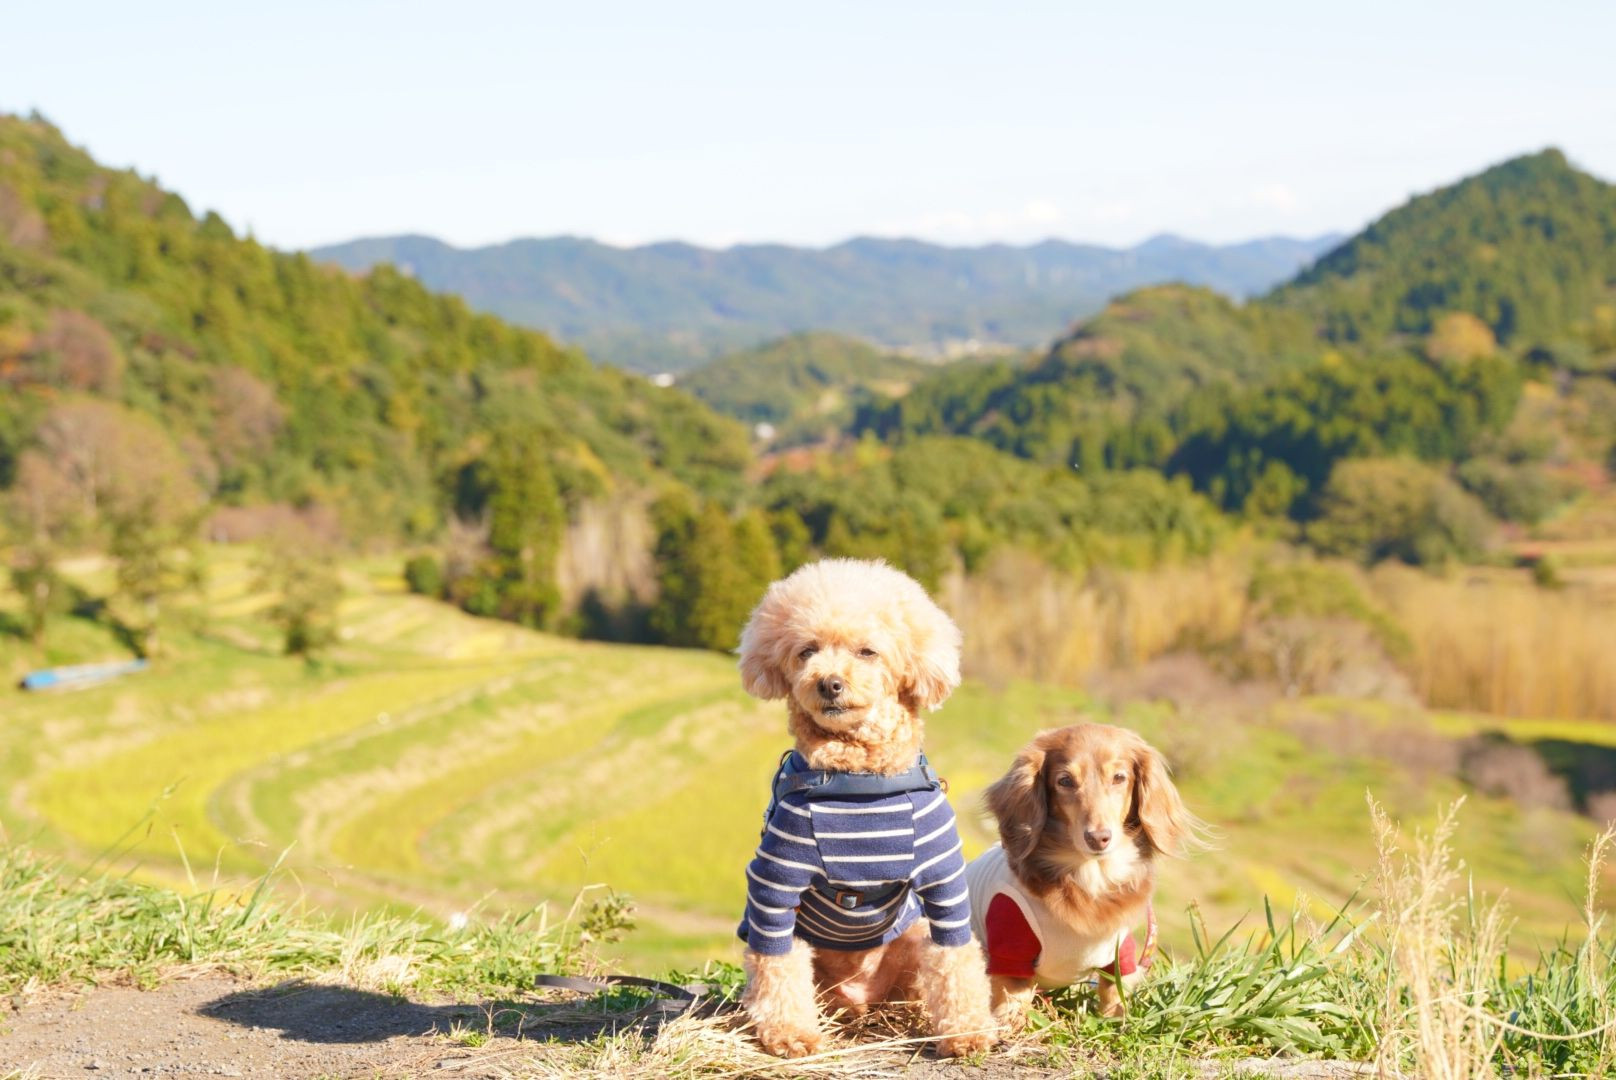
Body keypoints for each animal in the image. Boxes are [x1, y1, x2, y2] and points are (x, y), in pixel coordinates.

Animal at [735, 558, 995, 1059]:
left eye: (868, 652)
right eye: (806, 651)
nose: (829, 683)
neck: (857, 781)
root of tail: (860, 999)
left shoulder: (943, 879)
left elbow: (956, 958)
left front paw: (967, 1031)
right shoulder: (775, 882)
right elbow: (777, 962)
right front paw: (790, 1033)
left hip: (911, 940)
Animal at [967, 723, 1198, 1030]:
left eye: (1119, 778)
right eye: (1064, 781)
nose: (1098, 838)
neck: (1090, 878)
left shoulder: (1120, 951)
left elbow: (1114, 994)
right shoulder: (1010, 948)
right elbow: (1014, 1000)